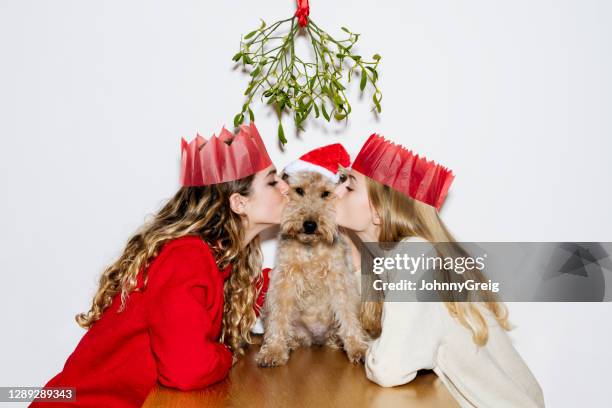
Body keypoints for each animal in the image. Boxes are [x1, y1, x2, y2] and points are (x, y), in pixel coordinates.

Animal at [255, 169, 368, 366]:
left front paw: (357, 347)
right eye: (299, 190)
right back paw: (288, 343)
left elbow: (348, 315)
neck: (310, 247)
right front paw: (274, 351)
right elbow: (279, 316)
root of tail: (316, 338)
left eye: (326, 193)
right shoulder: (284, 280)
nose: (309, 225)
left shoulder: (340, 279)